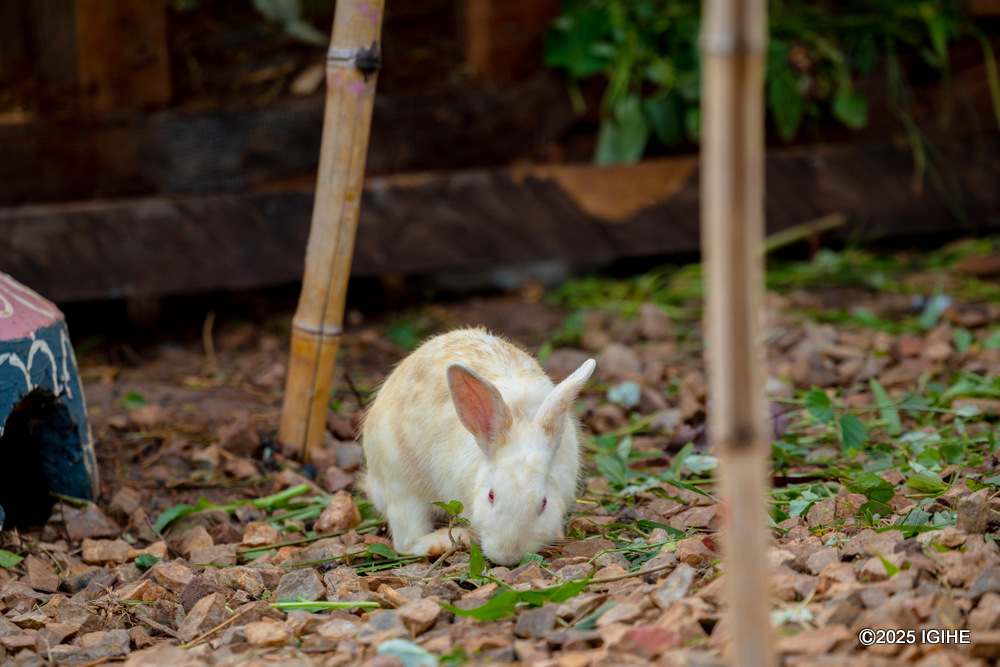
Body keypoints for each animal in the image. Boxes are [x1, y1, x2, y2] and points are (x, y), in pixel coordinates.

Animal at [362, 328, 595, 565]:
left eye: (544, 503)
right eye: (491, 496)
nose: (507, 556)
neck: (520, 417)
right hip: (401, 488)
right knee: (406, 542)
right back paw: (454, 539)